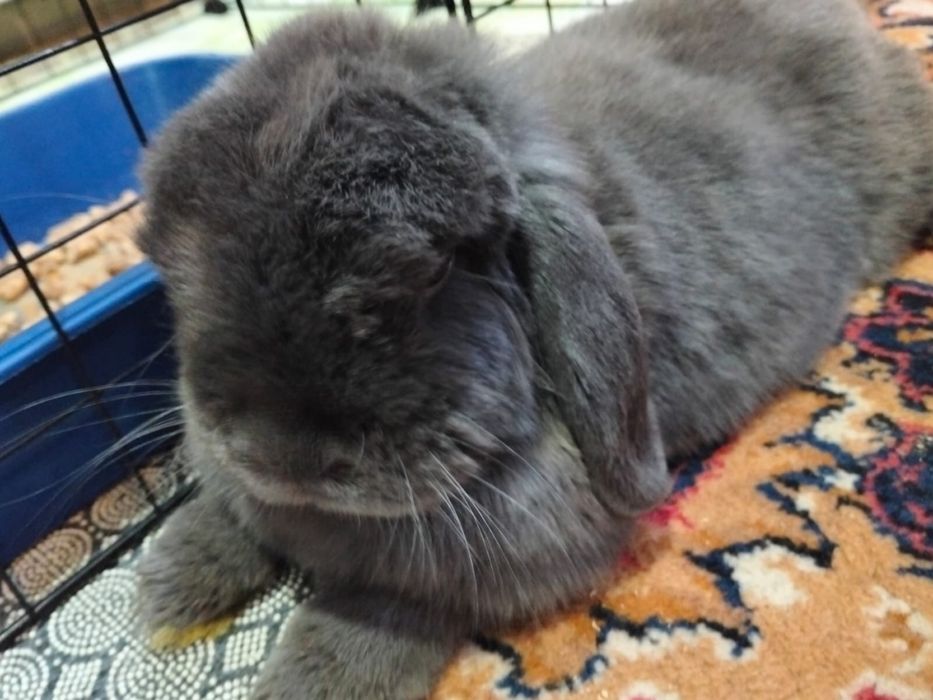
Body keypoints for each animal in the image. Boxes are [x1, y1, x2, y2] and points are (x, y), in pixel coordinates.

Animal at [134, 1, 933, 698]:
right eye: (172, 264)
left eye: (433, 270)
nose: (279, 456)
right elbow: (236, 510)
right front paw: (170, 577)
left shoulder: (500, 560)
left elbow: (389, 603)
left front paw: (315, 678)